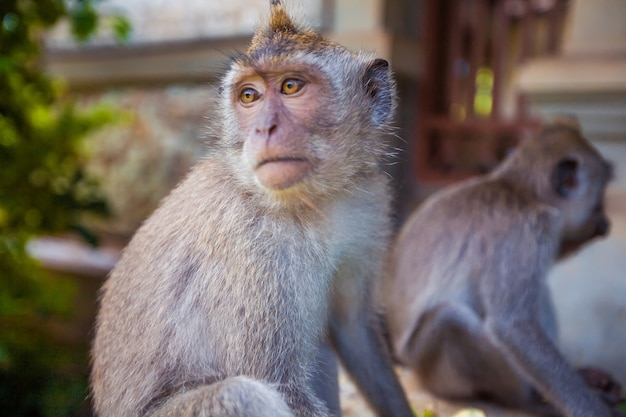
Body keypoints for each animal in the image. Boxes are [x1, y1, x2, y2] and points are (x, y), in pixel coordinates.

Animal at [90, 0, 412, 416]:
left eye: (291, 86)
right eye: (249, 96)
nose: (263, 130)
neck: (312, 201)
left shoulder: (368, 204)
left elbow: (353, 329)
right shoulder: (250, 247)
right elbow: (280, 384)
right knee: (243, 394)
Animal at [380, 121, 616, 416]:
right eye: (599, 198)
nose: (603, 215)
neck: (517, 187)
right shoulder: (527, 229)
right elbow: (512, 325)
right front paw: (593, 408)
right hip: (435, 369)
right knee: (448, 319)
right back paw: (529, 400)